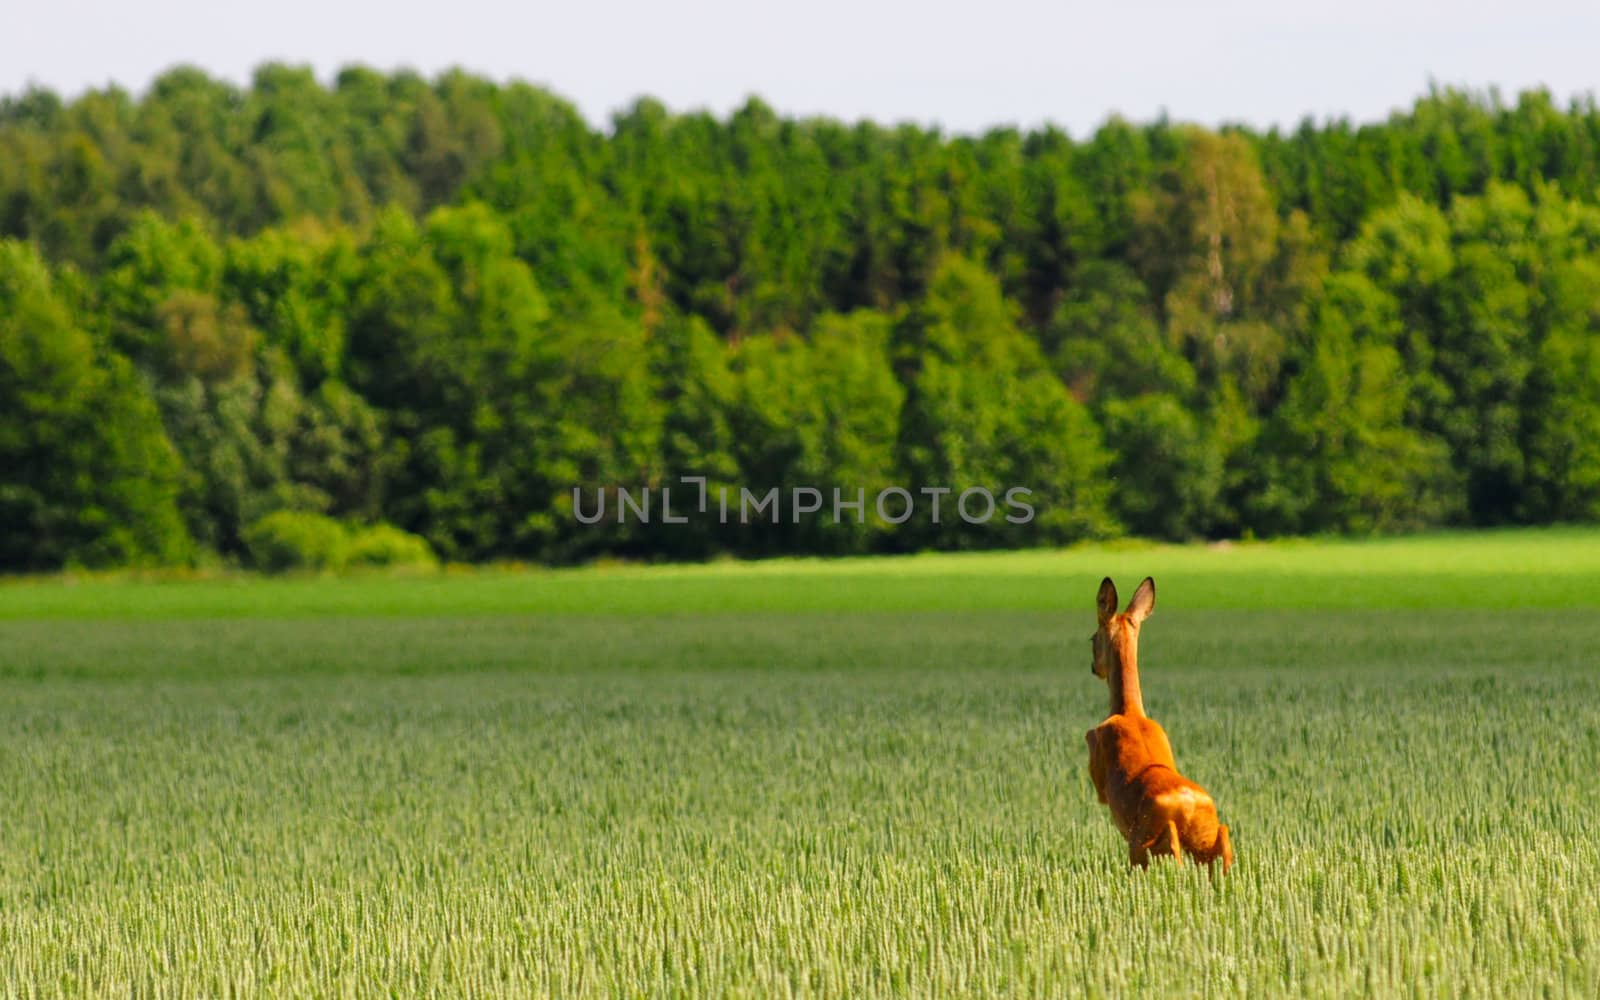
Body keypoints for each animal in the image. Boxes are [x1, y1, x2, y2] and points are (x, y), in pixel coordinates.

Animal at [1081, 576, 1228, 870]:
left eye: (1093, 638)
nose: (1093, 667)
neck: (1129, 712)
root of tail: (1186, 806)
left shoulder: (1097, 753)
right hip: (1205, 838)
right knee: (1224, 844)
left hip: (1142, 841)